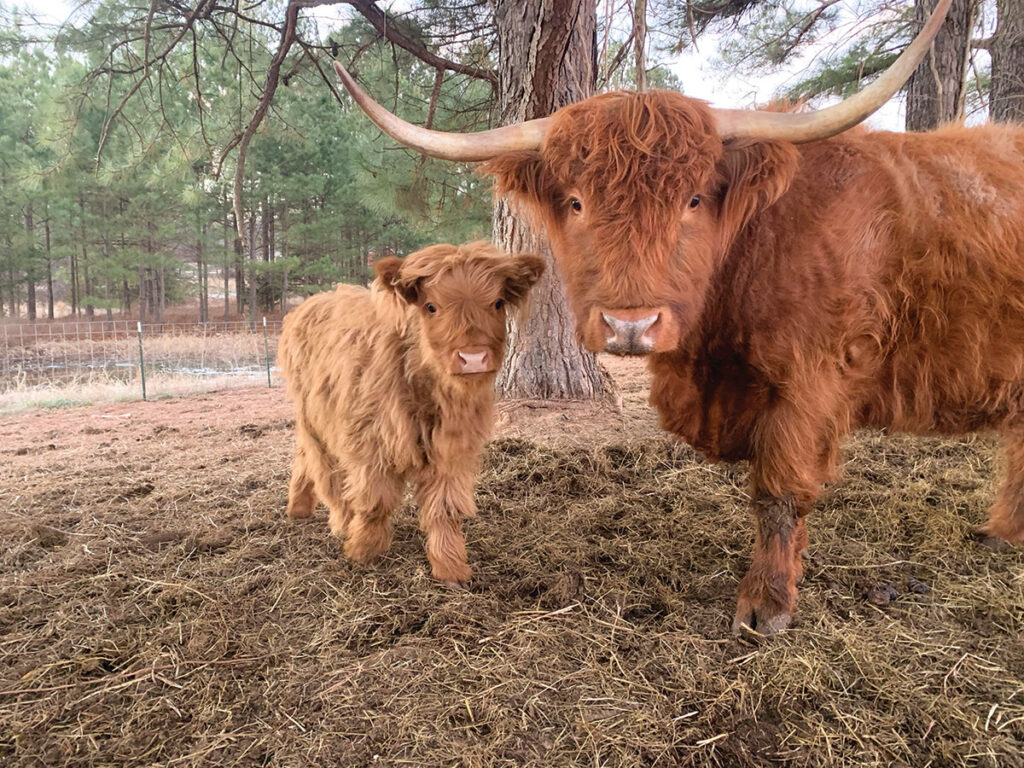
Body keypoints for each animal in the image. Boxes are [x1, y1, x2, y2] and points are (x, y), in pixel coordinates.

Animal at [272, 243, 544, 585]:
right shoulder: (370, 443)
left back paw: (298, 507)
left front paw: (450, 568)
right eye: (431, 306)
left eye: (496, 303)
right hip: (316, 418)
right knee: (326, 471)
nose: (473, 358)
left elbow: (445, 509)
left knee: (303, 457)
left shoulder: (451, 449)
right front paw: (363, 551)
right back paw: (339, 522)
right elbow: (375, 501)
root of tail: (311, 302)